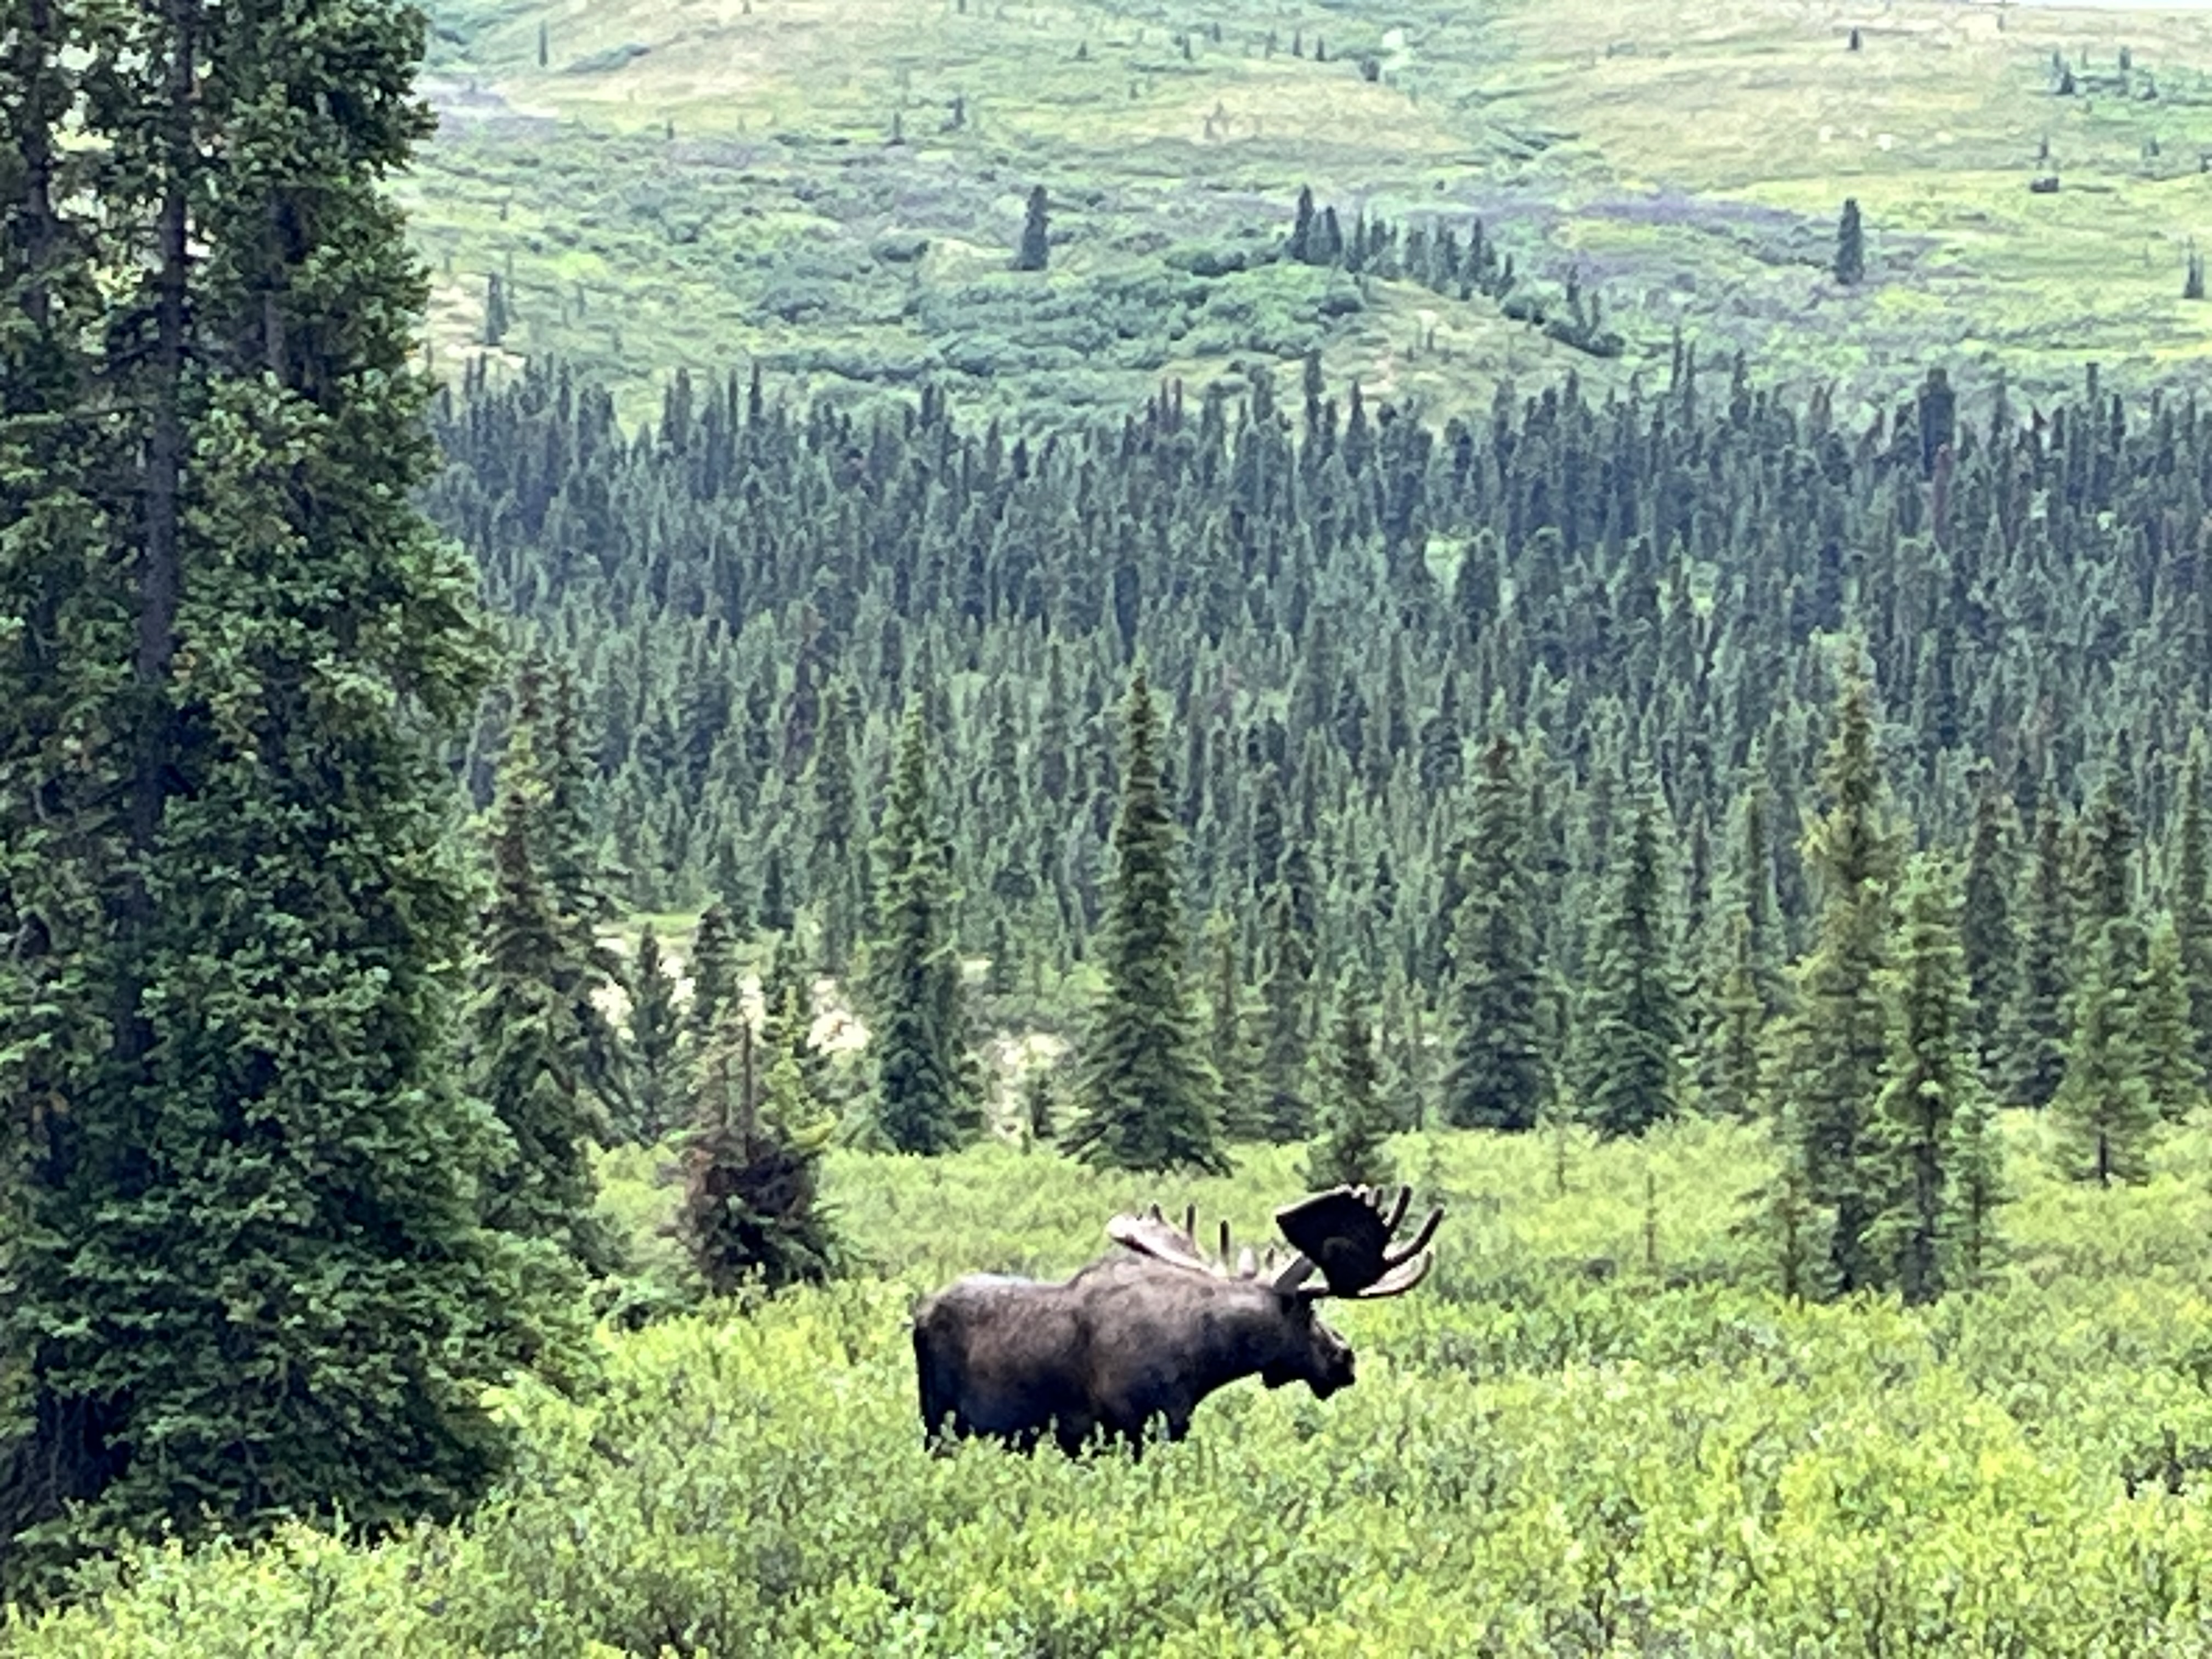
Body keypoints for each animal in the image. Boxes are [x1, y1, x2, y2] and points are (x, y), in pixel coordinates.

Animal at [911, 1184, 1443, 1456]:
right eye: (1310, 1311)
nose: (1344, 1358)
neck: (1208, 1359)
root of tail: (917, 1318)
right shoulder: (1137, 1424)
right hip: (941, 1425)